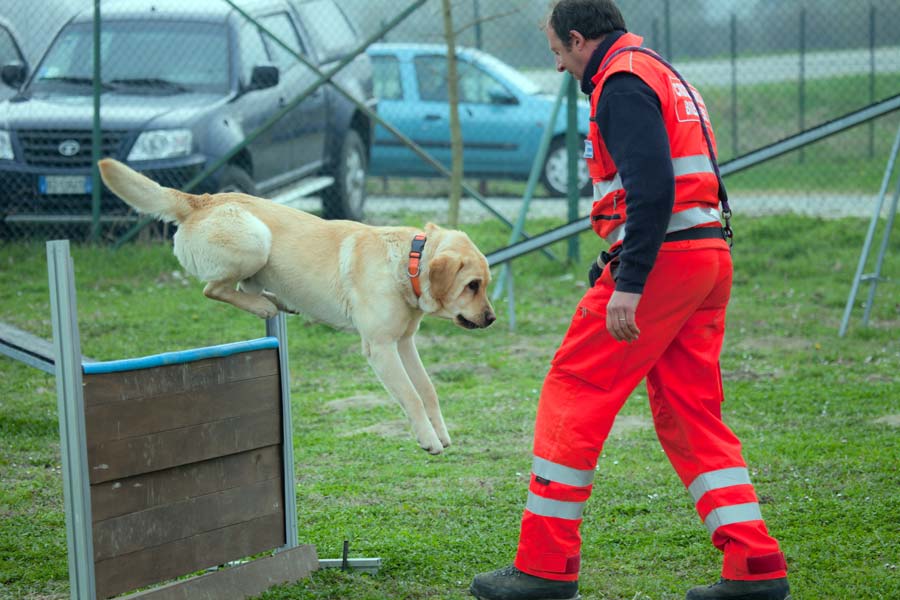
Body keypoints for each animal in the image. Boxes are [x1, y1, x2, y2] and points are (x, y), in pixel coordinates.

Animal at [99, 159, 496, 454]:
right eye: (472, 286)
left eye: (485, 285)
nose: (491, 319)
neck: (408, 264)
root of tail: (200, 199)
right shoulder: (381, 348)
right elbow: (411, 396)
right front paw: (428, 441)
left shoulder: (404, 343)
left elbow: (427, 389)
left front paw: (440, 432)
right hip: (255, 239)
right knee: (213, 288)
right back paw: (264, 306)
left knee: (239, 287)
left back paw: (275, 300)